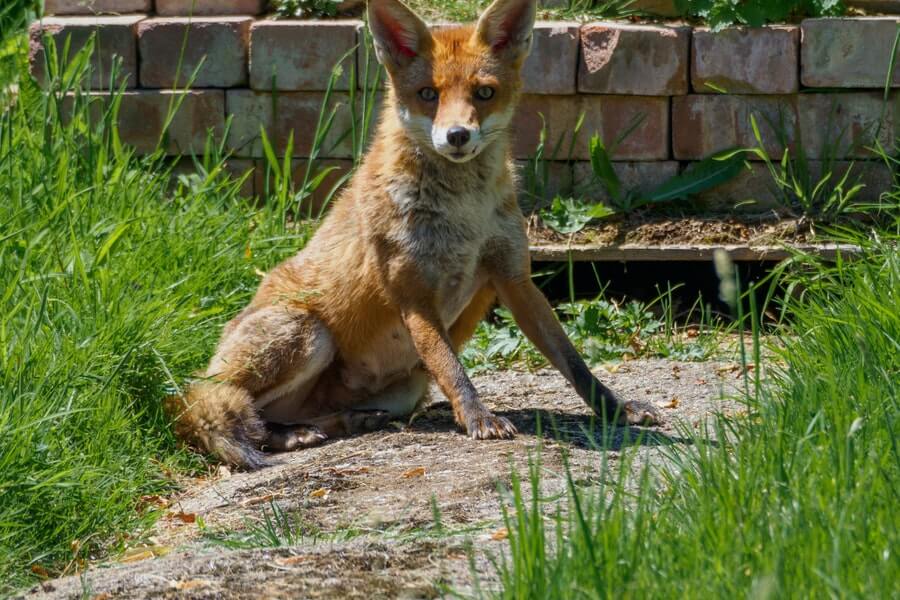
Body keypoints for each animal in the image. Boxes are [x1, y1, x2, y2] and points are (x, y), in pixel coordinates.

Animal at [167, 0, 660, 468]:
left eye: (484, 92)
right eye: (428, 94)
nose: (457, 135)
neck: (465, 215)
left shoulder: (513, 278)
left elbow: (573, 361)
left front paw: (616, 409)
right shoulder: (413, 293)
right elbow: (453, 368)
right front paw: (478, 418)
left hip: (404, 387)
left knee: (287, 414)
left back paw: (345, 421)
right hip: (306, 333)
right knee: (214, 407)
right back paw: (287, 434)